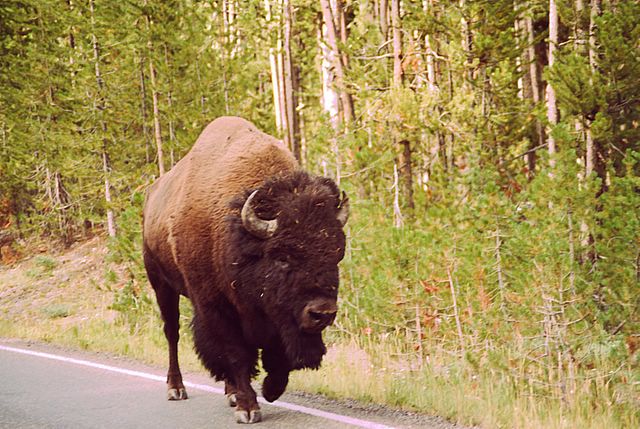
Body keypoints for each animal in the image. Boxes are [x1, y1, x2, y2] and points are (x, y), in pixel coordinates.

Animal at [142, 117, 349, 424]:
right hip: (161, 285)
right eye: (282, 257)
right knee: (172, 333)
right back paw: (176, 388)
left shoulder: (277, 317)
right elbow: (236, 354)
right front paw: (248, 408)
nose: (322, 313)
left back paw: (230, 392)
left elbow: (277, 354)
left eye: (336, 254)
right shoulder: (217, 307)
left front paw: (270, 390)